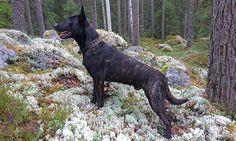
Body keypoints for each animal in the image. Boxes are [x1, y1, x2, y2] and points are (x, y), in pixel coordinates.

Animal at [54, 5, 188, 139]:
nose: (54, 25)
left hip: (155, 100)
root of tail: (163, 77)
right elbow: (94, 95)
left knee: (167, 120)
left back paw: (167, 136)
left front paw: (98, 110)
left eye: (69, 21)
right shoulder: (95, 79)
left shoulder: (99, 80)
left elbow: (100, 99)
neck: (92, 46)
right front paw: (91, 105)